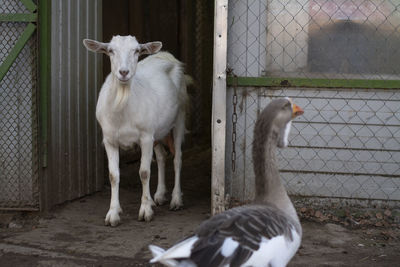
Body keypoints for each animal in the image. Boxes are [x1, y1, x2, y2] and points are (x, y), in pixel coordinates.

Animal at [83, 35, 189, 227]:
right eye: (110, 50)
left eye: (137, 50)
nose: (124, 72)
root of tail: (165, 55)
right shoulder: (110, 139)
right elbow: (113, 175)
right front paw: (113, 213)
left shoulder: (145, 136)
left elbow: (144, 172)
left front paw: (145, 211)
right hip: (157, 130)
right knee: (161, 157)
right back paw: (158, 195)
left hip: (179, 116)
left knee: (177, 158)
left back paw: (176, 200)